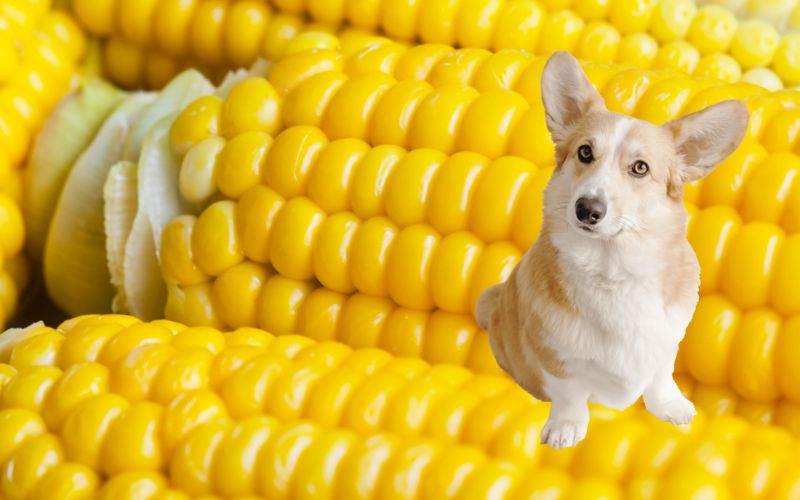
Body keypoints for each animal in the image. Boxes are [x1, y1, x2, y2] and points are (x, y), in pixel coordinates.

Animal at [476, 49, 752, 450]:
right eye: (585, 152)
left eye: (640, 168)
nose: (587, 209)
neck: (612, 269)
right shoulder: (552, 354)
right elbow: (570, 392)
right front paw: (566, 427)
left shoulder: (668, 340)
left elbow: (661, 375)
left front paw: (671, 408)